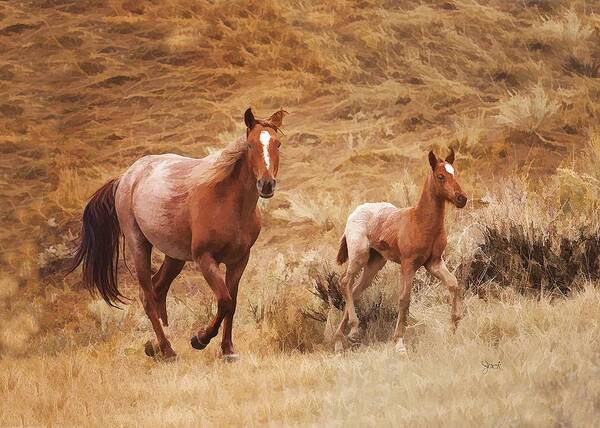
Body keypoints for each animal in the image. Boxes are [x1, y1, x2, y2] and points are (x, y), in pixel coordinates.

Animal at [69, 108, 288, 360]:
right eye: (251, 145)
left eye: (278, 144)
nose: (267, 185)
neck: (227, 203)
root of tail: (125, 177)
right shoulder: (205, 259)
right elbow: (224, 300)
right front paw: (200, 339)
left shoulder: (239, 260)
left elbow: (231, 304)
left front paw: (227, 350)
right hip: (138, 244)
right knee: (147, 296)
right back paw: (167, 349)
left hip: (174, 256)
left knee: (158, 288)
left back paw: (155, 345)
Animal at [336, 150, 466, 354]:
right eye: (441, 176)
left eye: (455, 173)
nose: (462, 198)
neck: (421, 221)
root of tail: (353, 213)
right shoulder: (408, 264)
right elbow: (404, 299)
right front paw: (398, 342)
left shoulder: (434, 262)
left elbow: (453, 283)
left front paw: (454, 323)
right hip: (359, 256)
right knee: (345, 282)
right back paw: (354, 328)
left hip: (375, 264)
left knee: (355, 289)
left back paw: (341, 337)